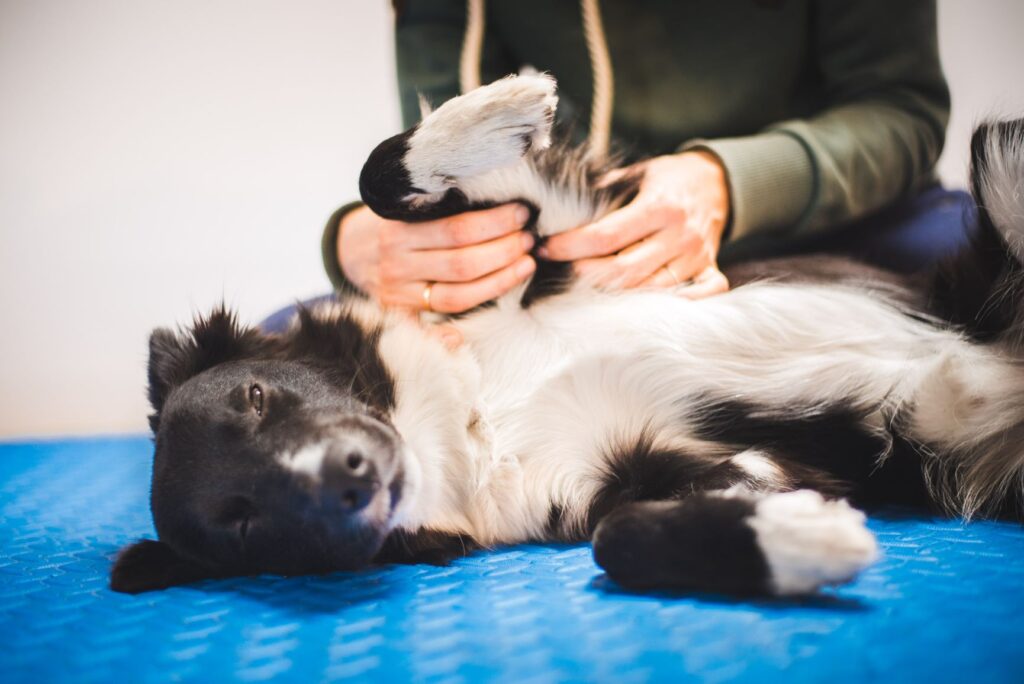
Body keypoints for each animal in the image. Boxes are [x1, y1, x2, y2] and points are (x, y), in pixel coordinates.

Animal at [110, 76, 1024, 597]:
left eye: (256, 396)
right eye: (242, 522)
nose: (349, 474)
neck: (480, 413)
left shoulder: (562, 234)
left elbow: (380, 173)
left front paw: (502, 105)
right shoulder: (660, 474)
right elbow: (621, 539)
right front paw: (798, 542)